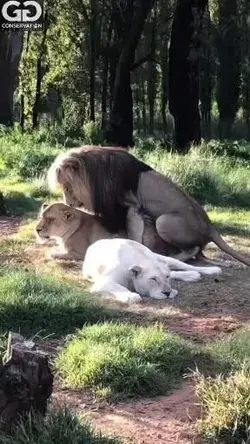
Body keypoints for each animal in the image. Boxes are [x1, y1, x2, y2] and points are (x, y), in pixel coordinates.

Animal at [47, 146, 250, 266]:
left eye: (67, 187)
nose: (68, 203)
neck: (92, 175)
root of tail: (210, 226)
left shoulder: (130, 204)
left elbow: (133, 230)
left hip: (164, 221)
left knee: (193, 248)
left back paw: (173, 257)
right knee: (199, 253)